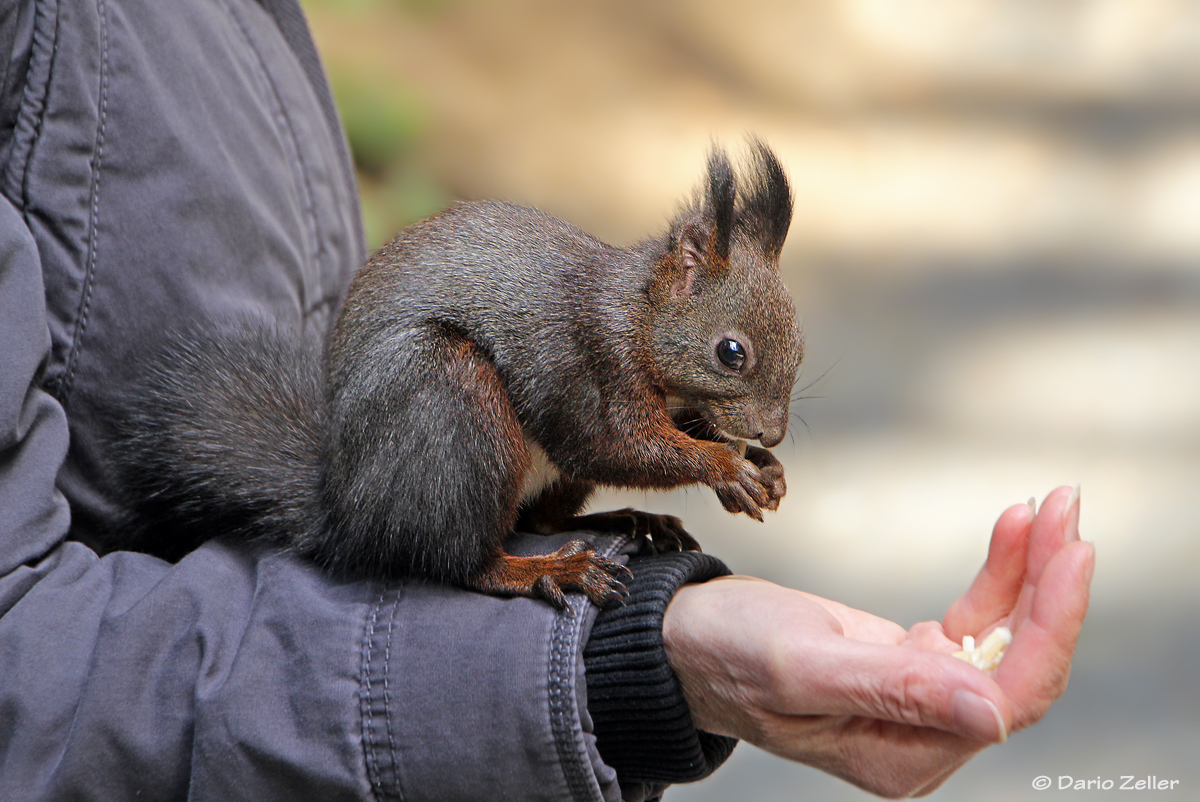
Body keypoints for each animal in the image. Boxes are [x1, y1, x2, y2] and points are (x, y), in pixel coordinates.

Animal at [100, 142, 796, 607]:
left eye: (799, 346)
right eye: (731, 352)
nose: (772, 434)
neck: (638, 316)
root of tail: (350, 513)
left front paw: (762, 467)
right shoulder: (588, 363)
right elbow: (613, 444)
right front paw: (726, 466)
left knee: (540, 523)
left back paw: (627, 522)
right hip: (451, 407)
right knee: (458, 559)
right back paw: (545, 570)